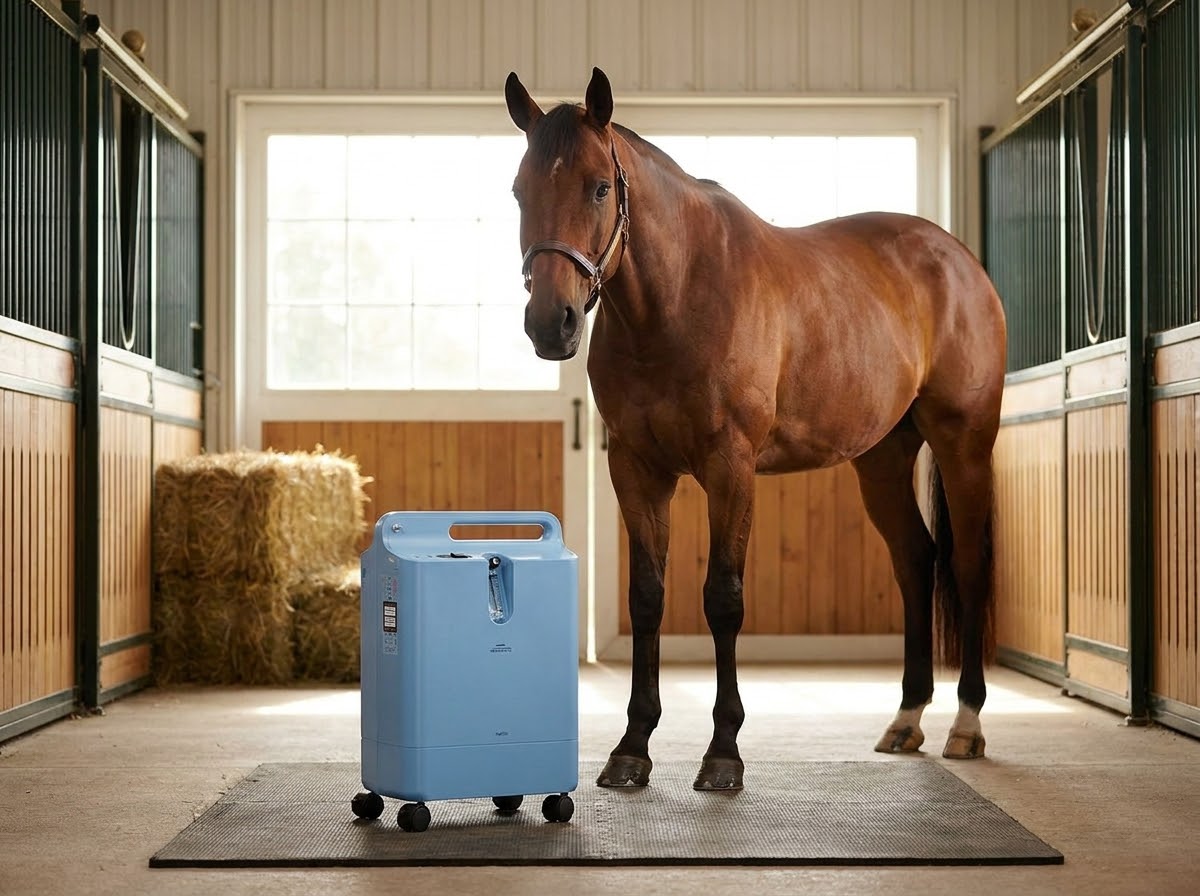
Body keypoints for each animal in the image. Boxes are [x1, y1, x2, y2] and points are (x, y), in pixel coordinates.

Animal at [505, 67, 1006, 792]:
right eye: (520, 190)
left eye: (599, 186)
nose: (552, 323)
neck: (676, 300)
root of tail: (959, 260)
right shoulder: (637, 469)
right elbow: (647, 596)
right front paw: (631, 748)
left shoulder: (730, 469)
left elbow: (723, 598)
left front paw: (723, 753)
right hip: (882, 458)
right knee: (915, 560)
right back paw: (907, 719)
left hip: (963, 444)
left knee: (965, 565)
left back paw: (966, 724)